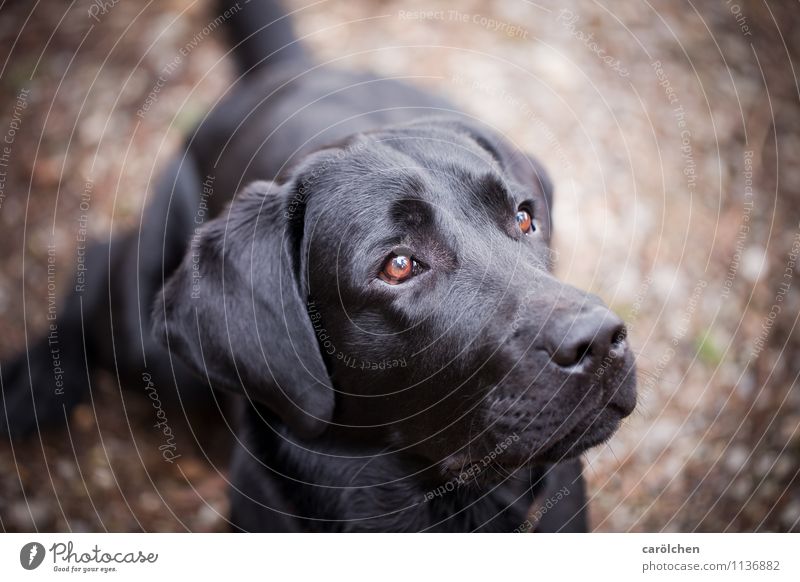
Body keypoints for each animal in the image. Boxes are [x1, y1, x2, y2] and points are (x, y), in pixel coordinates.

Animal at [1, 0, 636, 532]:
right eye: (399, 265)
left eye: (525, 218)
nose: (601, 339)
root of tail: (293, 69)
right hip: (149, 340)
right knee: (101, 261)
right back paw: (30, 385)